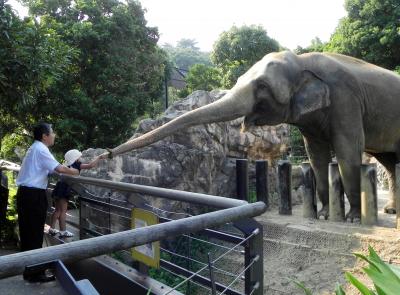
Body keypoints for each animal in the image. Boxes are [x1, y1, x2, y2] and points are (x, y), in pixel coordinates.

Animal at [105, 51, 400, 222]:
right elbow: (315, 156)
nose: (105, 154)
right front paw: (326, 216)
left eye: (262, 86)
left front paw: (352, 219)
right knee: (389, 162)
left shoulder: (346, 101)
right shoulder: (312, 118)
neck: (302, 60)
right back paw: (390, 211)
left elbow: (347, 150)